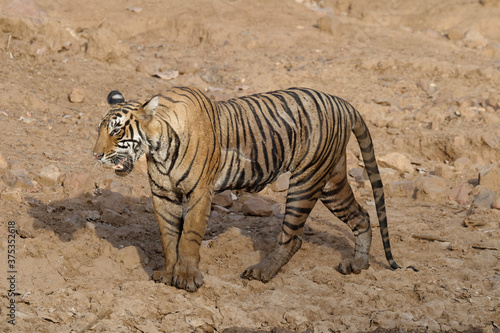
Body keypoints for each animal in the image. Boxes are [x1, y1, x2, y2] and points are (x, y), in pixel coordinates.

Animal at [93, 86, 398, 290]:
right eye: (99, 129)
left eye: (117, 131)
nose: (95, 155)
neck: (157, 148)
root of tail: (342, 102)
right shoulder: (163, 195)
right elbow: (168, 238)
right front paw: (168, 274)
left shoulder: (199, 193)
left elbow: (189, 236)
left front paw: (187, 278)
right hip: (331, 183)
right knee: (362, 216)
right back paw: (358, 264)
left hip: (306, 181)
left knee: (293, 237)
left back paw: (261, 271)